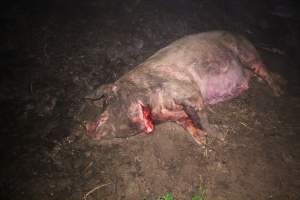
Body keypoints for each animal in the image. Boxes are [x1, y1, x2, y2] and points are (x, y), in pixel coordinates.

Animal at [85, 30, 284, 145]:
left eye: (108, 99)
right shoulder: (175, 113)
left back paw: (278, 92)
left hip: (247, 54)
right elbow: (187, 120)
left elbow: (200, 116)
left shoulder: (189, 92)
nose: (87, 125)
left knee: (264, 70)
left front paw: (221, 136)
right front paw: (201, 140)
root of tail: (245, 37)